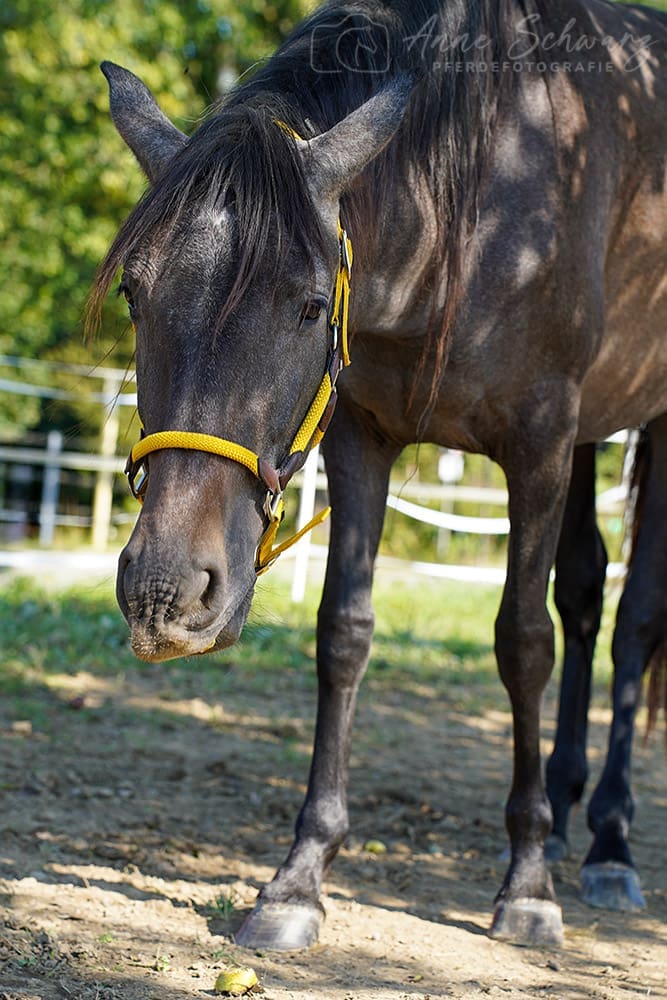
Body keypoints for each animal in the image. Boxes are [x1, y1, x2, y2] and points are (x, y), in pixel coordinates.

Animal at [90, 0, 667, 952]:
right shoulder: (360, 439)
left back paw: (610, 842)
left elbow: (522, 642)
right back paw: (569, 803)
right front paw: (298, 879)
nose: (165, 589)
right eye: (136, 294)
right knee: (585, 591)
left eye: (308, 304)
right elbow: (344, 633)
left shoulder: (540, 445)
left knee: (629, 625)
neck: (475, 199)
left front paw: (528, 884)